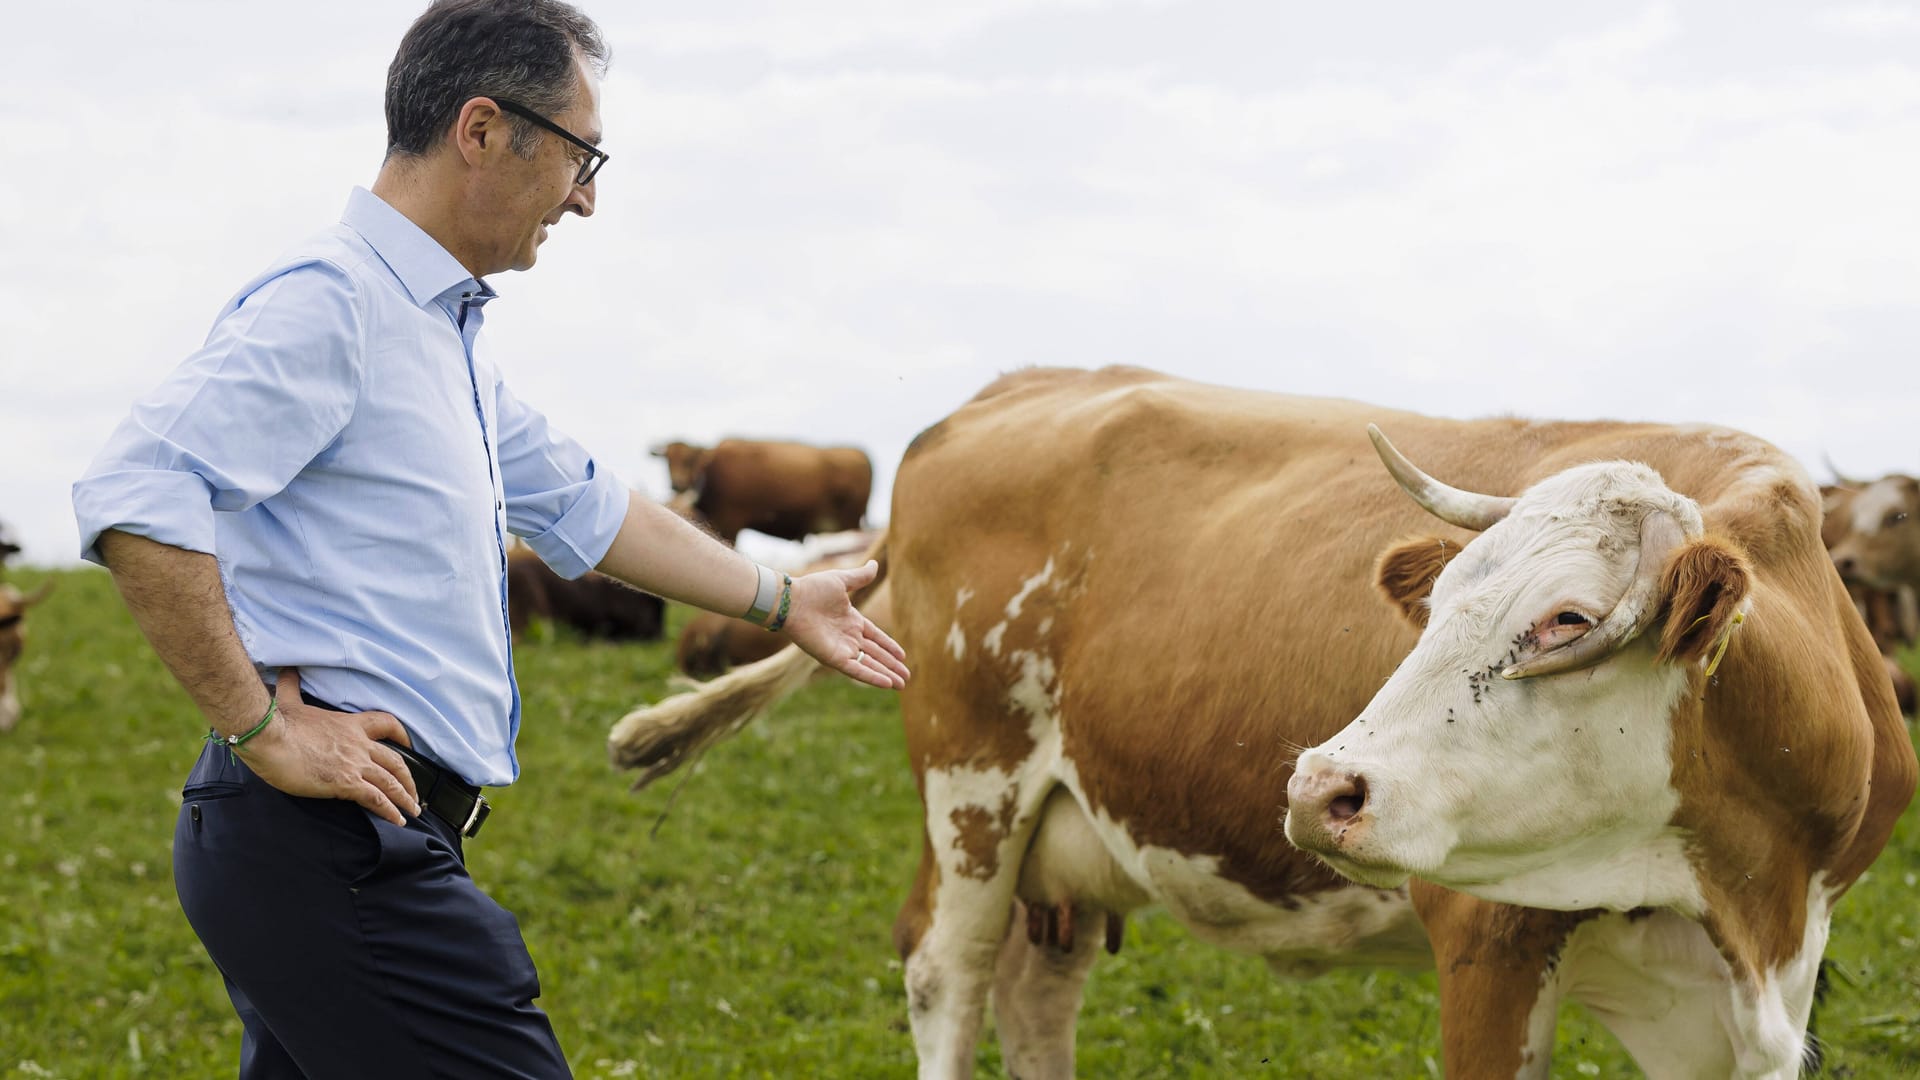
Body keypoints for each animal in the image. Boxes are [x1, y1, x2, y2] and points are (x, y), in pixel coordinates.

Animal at [656, 434, 875, 541]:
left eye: (690, 460)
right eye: (668, 461)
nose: (677, 484)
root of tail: (858, 452)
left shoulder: (729, 521)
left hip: (849, 521)